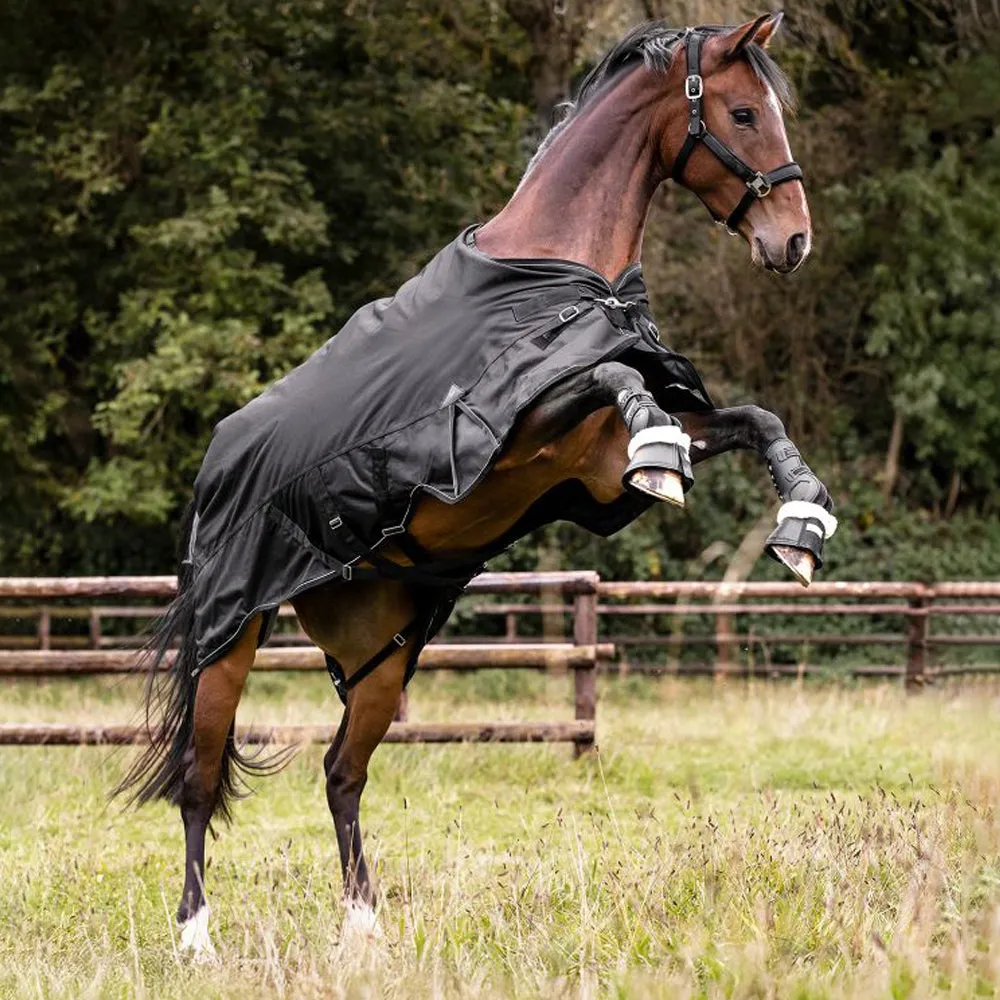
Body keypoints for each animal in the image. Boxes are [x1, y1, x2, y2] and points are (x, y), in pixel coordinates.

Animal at [118, 13, 837, 953]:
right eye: (746, 114)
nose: (792, 241)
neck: (555, 276)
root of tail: (214, 468)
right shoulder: (517, 428)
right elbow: (617, 380)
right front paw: (666, 455)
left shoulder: (595, 472)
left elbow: (756, 419)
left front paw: (801, 523)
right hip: (229, 638)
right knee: (201, 777)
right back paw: (196, 937)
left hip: (382, 655)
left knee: (341, 772)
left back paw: (364, 927)